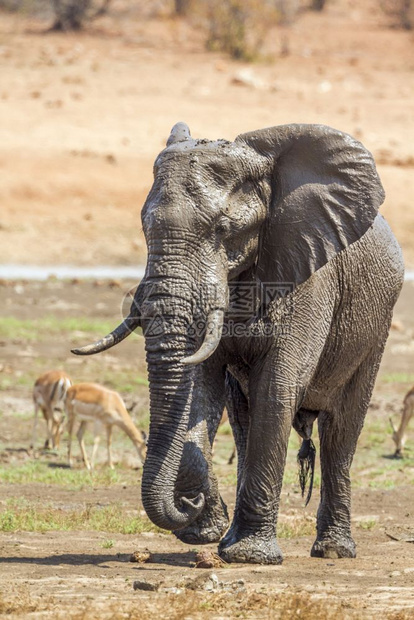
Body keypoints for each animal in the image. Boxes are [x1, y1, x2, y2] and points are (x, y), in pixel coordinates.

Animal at [73, 123, 402, 564]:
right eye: (144, 229)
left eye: (223, 230)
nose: (187, 504)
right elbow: (199, 391)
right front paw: (202, 528)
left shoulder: (309, 275)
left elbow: (277, 389)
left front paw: (249, 557)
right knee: (243, 417)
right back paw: (228, 538)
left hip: (376, 324)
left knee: (341, 429)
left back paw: (332, 551)